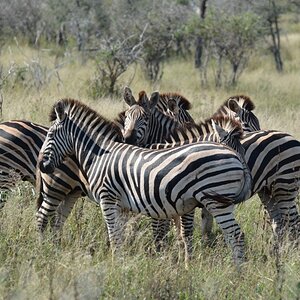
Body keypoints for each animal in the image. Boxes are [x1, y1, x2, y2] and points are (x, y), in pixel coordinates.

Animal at [38, 97, 252, 264]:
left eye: (51, 135)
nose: (42, 165)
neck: (100, 155)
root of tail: (234, 158)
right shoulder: (125, 205)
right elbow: (122, 236)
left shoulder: (108, 199)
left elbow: (116, 236)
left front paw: (117, 266)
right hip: (63, 190)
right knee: (51, 219)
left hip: (217, 201)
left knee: (236, 236)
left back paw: (238, 275)